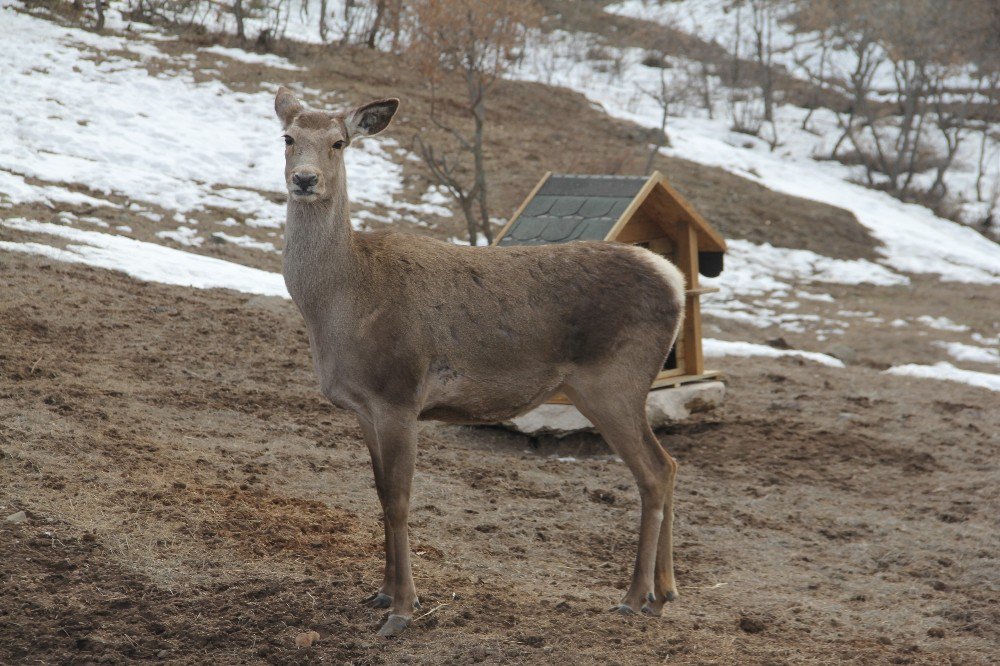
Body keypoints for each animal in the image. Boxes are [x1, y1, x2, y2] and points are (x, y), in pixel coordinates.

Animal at [274, 85, 688, 636]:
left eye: (339, 143)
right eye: (288, 137)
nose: (304, 179)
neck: (341, 306)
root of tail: (675, 280)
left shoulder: (399, 394)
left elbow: (399, 500)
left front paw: (403, 610)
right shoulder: (364, 407)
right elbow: (379, 494)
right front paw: (380, 594)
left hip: (614, 382)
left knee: (654, 472)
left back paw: (635, 596)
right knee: (669, 465)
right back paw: (665, 592)